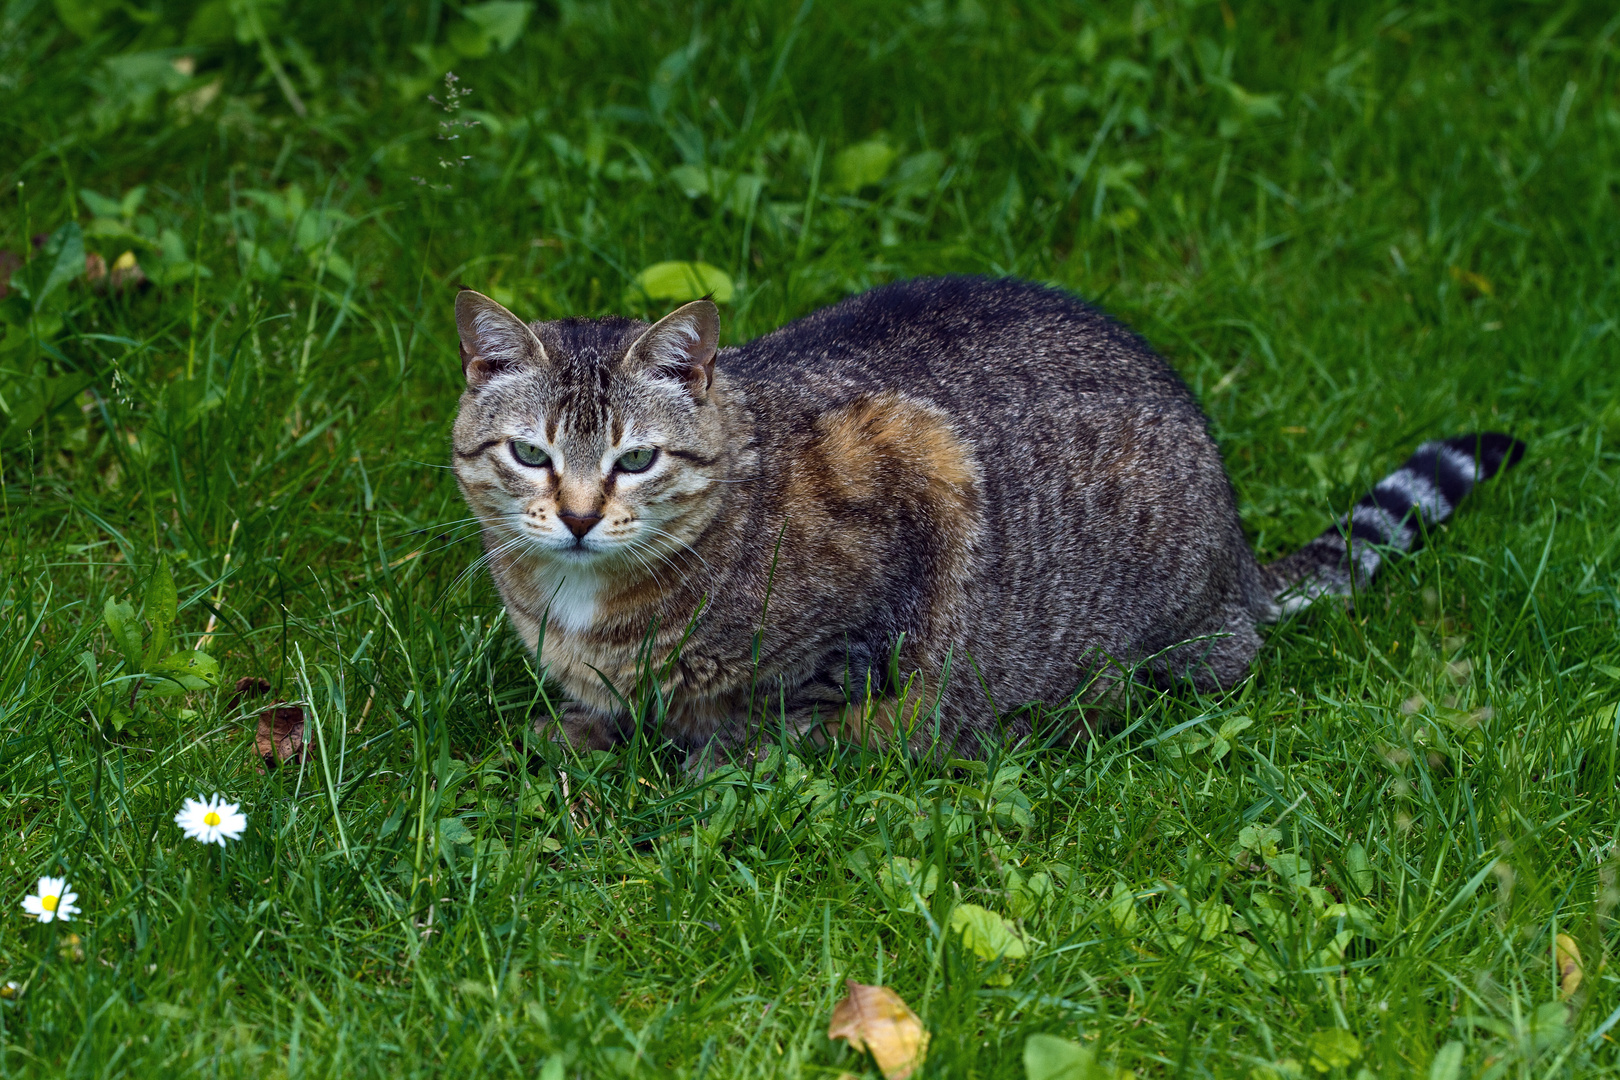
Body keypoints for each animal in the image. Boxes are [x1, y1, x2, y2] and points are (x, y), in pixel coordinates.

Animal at [450, 278, 1522, 767]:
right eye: (532, 454)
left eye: (636, 460)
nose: (578, 516)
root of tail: (1241, 556)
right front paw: (575, 733)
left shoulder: (902, 521)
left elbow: (760, 727)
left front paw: (690, 770)